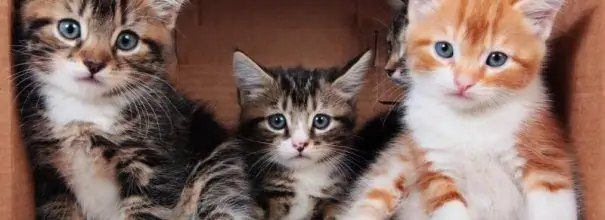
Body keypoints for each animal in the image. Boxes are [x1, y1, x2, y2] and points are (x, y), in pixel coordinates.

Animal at [338, 0, 580, 220]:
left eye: (497, 58)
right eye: (444, 49)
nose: (463, 82)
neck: (469, 120)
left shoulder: (544, 158)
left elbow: (553, 204)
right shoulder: (436, 166)